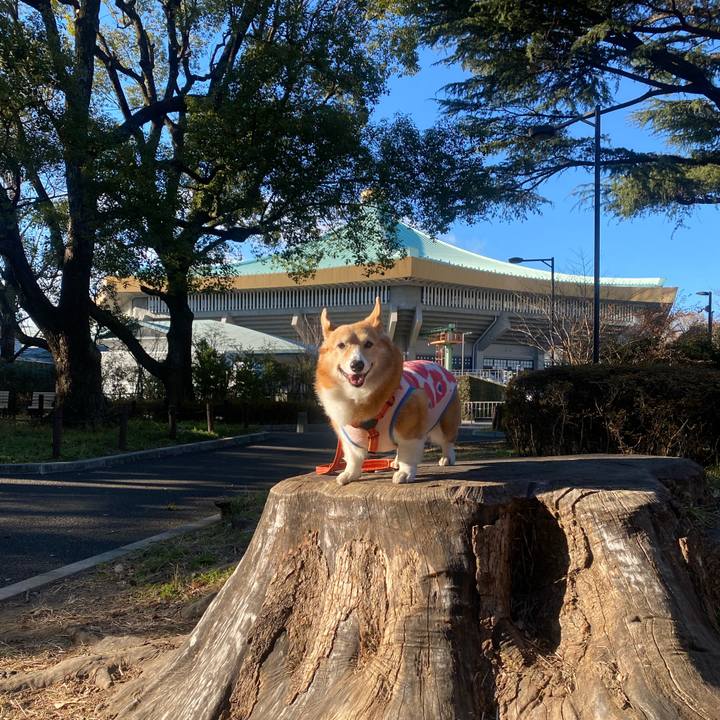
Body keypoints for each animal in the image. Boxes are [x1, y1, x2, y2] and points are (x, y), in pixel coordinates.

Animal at [315, 297, 461, 485]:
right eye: (341, 345)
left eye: (368, 344)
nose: (357, 365)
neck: (359, 397)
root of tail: (440, 366)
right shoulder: (349, 439)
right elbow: (354, 458)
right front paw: (349, 474)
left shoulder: (410, 431)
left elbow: (409, 453)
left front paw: (405, 473)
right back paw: (396, 462)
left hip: (445, 421)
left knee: (447, 441)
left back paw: (447, 458)